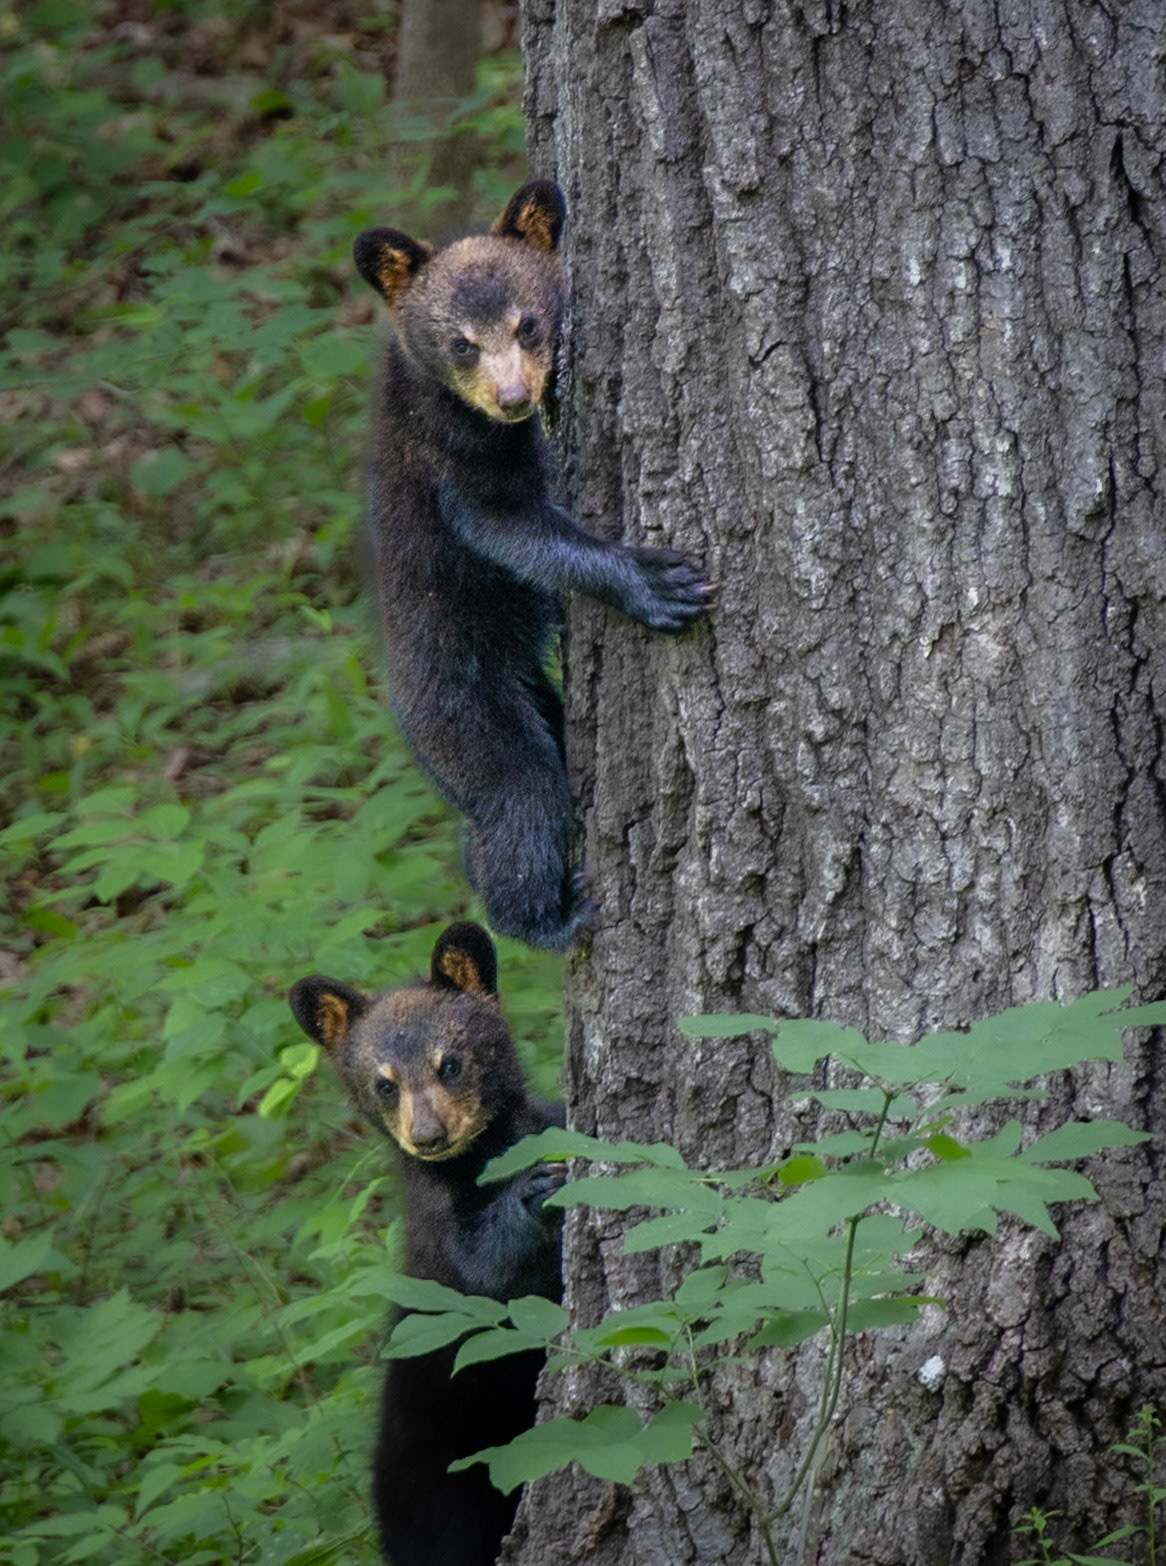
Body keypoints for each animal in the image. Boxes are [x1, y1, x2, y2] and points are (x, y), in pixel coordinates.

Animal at [289, 921, 564, 1566]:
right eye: (384, 1084)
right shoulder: (435, 1221)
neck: (479, 1158)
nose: (429, 1136)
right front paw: (536, 1191)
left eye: (451, 1063)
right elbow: (484, 1268)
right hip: (441, 1492)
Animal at [353, 180, 714, 952]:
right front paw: (656, 583)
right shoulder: (448, 454)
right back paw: (547, 917)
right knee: (521, 798)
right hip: (466, 706)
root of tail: (405, 724)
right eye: (461, 342)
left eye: (527, 326)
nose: (515, 398)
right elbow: (511, 528)